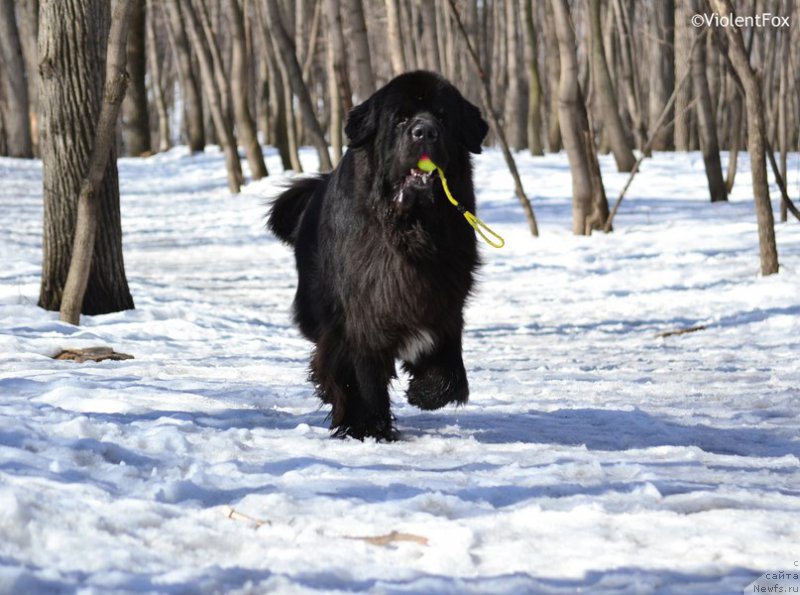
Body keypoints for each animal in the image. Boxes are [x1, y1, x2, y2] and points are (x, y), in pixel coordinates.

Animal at [270, 71, 488, 442]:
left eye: (443, 117)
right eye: (400, 119)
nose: (425, 131)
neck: (410, 230)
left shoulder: (445, 301)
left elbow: (450, 370)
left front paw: (425, 392)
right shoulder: (359, 315)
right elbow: (360, 375)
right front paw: (369, 428)